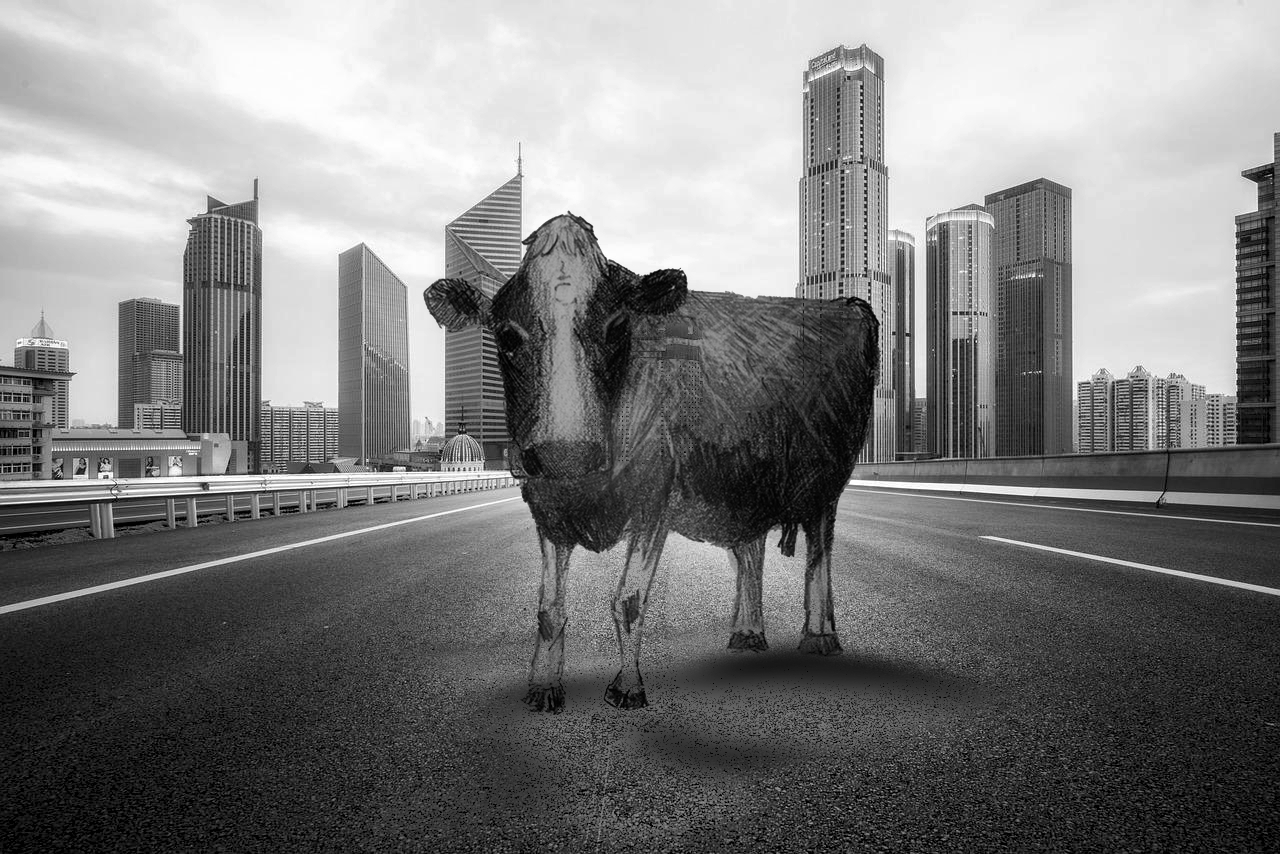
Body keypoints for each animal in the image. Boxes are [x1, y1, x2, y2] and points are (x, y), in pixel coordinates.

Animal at [425, 213, 878, 713]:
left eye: (616, 327)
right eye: (506, 335)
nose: (566, 450)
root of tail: (848, 305)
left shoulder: (653, 501)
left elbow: (628, 600)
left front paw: (627, 687)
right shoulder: (547, 507)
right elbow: (548, 609)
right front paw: (543, 687)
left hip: (823, 481)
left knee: (819, 551)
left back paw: (819, 636)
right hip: (738, 482)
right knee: (749, 548)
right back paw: (746, 633)